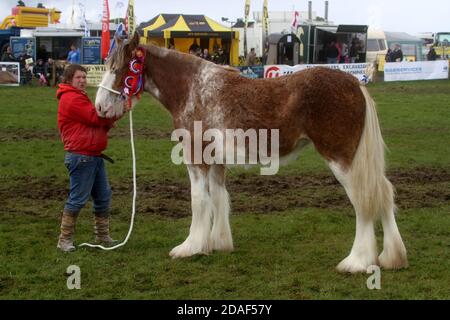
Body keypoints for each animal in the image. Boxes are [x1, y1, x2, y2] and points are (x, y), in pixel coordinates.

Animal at [95, 32, 408, 272]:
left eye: (118, 69)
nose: (99, 107)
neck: (193, 88)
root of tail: (355, 83)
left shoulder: (196, 157)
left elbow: (199, 201)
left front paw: (190, 247)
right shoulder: (216, 161)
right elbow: (218, 198)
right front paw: (217, 243)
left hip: (342, 159)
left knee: (364, 201)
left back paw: (357, 261)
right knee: (383, 193)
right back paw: (391, 257)